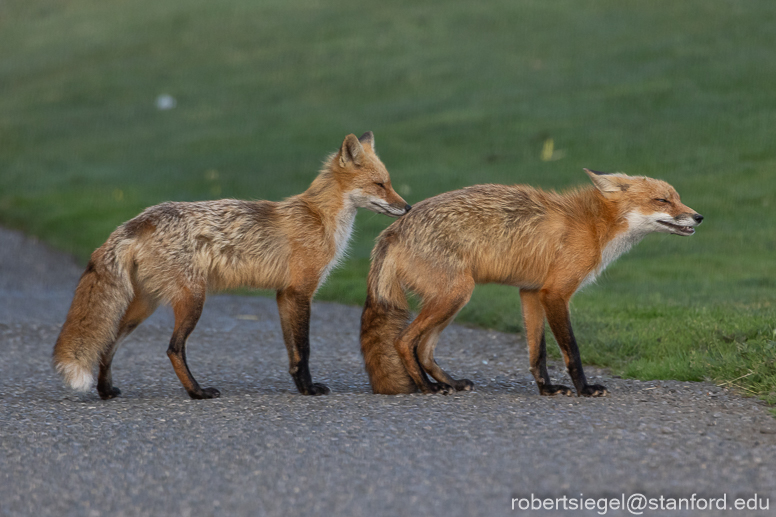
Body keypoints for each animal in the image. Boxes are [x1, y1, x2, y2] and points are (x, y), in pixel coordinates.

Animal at [53, 131, 410, 400]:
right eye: (381, 185)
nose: (407, 207)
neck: (319, 218)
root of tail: (139, 220)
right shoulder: (301, 291)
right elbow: (305, 348)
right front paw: (310, 390)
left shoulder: (284, 295)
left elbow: (293, 354)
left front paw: (301, 387)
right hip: (192, 300)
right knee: (173, 349)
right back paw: (197, 392)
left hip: (146, 304)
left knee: (108, 343)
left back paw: (106, 390)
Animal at [360, 169, 702, 396]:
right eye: (662, 200)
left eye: (678, 199)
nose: (699, 217)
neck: (594, 226)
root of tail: (392, 230)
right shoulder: (555, 293)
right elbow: (571, 350)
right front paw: (584, 389)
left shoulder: (530, 292)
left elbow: (537, 353)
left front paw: (547, 390)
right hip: (454, 295)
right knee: (404, 341)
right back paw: (425, 387)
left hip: (452, 301)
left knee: (424, 349)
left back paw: (449, 383)